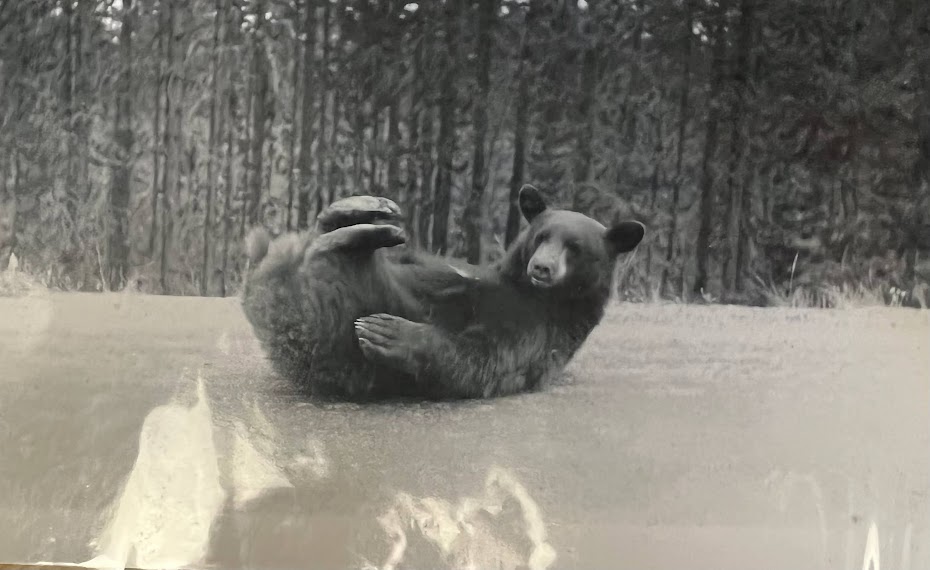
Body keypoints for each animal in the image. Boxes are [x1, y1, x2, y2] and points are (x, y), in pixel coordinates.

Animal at [241, 185, 645, 401]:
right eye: (541, 236)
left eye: (575, 248)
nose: (542, 268)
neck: (533, 294)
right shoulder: (474, 273)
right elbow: (441, 271)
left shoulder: (537, 335)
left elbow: (476, 359)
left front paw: (388, 332)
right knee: (326, 234)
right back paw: (368, 210)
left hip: (331, 306)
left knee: (328, 253)